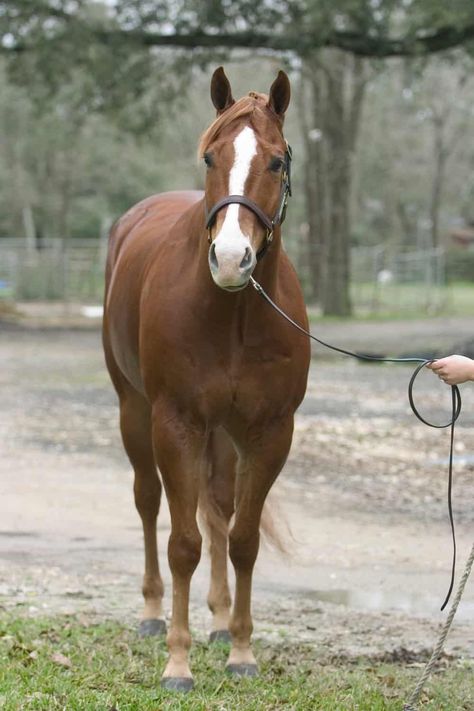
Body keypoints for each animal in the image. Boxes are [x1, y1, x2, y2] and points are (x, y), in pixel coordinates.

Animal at [103, 67, 312, 688]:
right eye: (210, 157)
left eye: (277, 161)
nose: (230, 258)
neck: (235, 313)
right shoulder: (176, 425)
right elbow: (182, 544)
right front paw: (178, 660)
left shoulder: (269, 432)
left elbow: (241, 539)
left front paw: (241, 649)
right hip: (135, 412)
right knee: (149, 501)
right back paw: (152, 612)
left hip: (222, 434)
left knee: (218, 508)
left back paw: (219, 621)